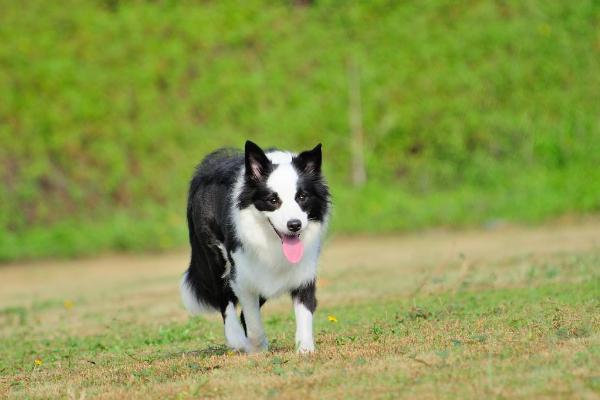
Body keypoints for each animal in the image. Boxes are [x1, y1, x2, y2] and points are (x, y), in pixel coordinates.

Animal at [180, 141, 330, 354]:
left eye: (302, 197)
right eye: (272, 200)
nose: (294, 225)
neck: (271, 243)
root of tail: (205, 167)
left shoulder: (304, 270)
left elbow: (305, 310)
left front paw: (305, 349)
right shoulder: (242, 273)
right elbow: (252, 320)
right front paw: (255, 347)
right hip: (215, 256)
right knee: (224, 299)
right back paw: (236, 338)